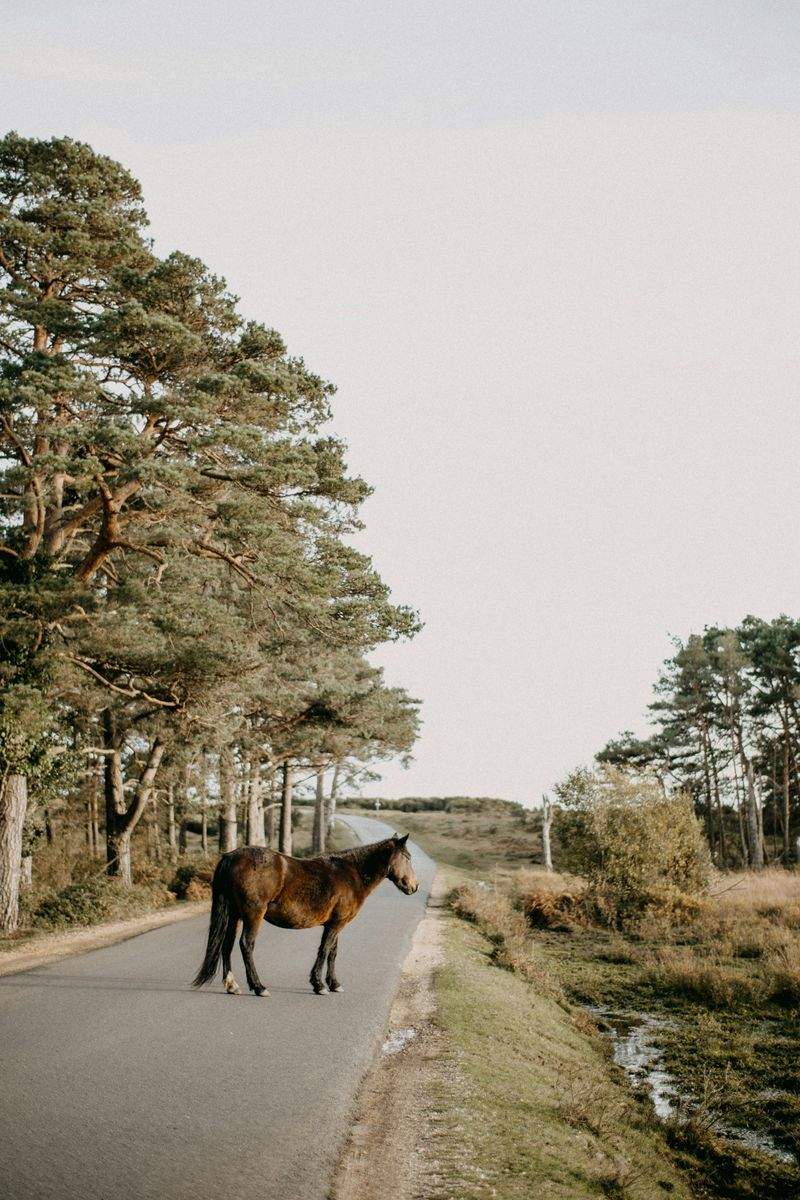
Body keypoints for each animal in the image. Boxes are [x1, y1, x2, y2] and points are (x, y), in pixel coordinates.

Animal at [192, 833, 419, 997]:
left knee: (227, 945)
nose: (415, 886)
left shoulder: (335, 923)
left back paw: (232, 985)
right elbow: (324, 951)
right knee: (246, 945)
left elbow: (333, 952)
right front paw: (319, 985)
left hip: (235, 915)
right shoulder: (336, 924)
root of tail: (231, 856)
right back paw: (259, 987)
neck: (351, 873)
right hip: (253, 914)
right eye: (407, 858)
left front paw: (334, 983)